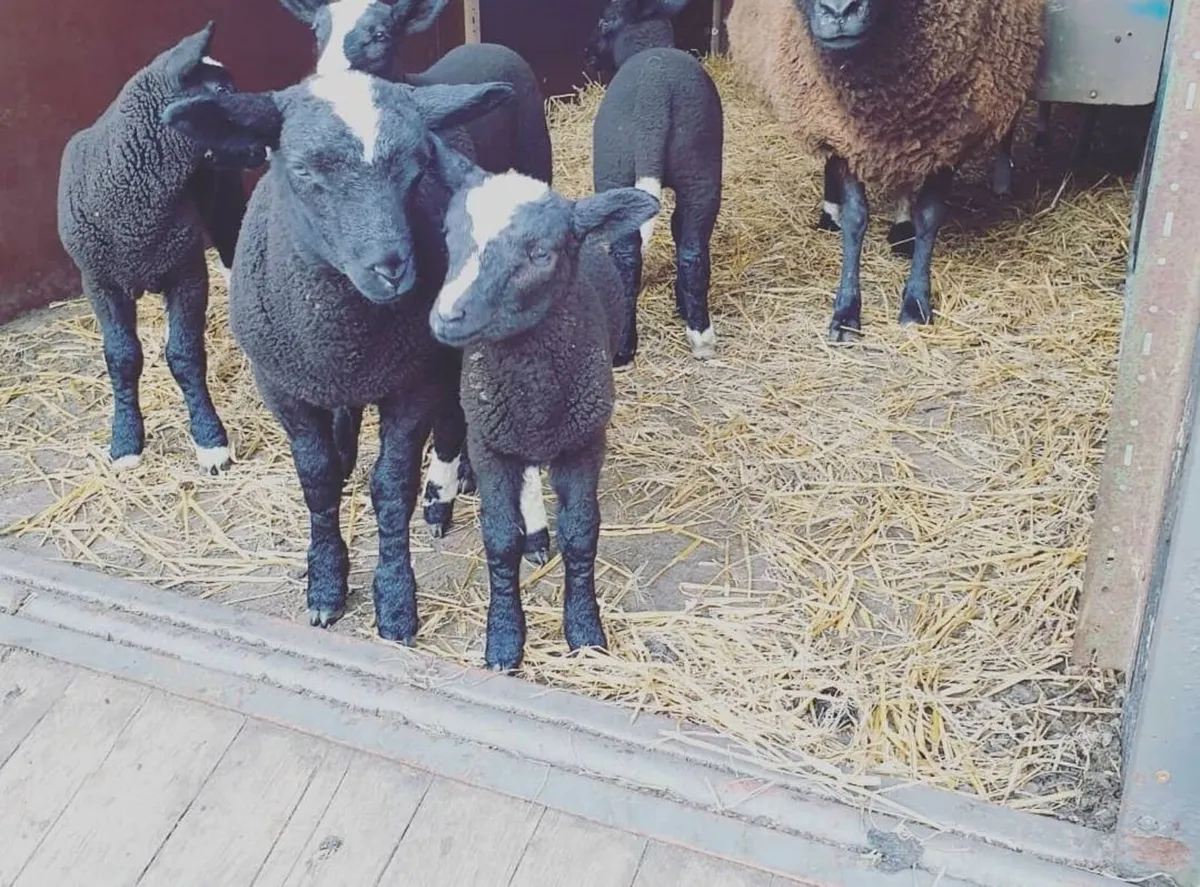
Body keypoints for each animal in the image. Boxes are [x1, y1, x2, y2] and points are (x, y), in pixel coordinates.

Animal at [56, 21, 264, 475]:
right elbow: (122, 358)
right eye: (221, 92)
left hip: (225, 206)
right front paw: (125, 442)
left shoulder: (186, 273)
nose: (263, 145)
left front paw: (211, 442)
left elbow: (185, 356)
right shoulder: (100, 283)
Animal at [163, 68, 515, 642]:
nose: (391, 267)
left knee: (454, 414)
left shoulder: (413, 381)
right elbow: (317, 477)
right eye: (303, 170)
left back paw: (447, 487)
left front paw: (394, 600)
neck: (342, 331)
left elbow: (392, 487)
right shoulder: (280, 384)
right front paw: (326, 581)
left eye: (418, 167)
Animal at [428, 165, 660, 671]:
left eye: (540, 253)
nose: (447, 317)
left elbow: (581, 536)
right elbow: (499, 541)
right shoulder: (490, 444)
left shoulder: (583, 443)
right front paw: (503, 640)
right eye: (449, 236)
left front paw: (585, 630)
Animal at [585, 0, 724, 364]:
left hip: (615, 171)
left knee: (627, 256)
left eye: (604, 21)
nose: (588, 55)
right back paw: (701, 337)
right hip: (701, 172)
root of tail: (655, 91)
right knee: (692, 250)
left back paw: (622, 347)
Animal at [726, 0, 1044, 341]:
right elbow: (855, 219)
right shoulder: (841, 133)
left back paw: (902, 228)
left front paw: (916, 303)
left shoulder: (949, 137)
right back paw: (830, 214)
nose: (839, 12)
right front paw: (846, 313)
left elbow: (929, 216)